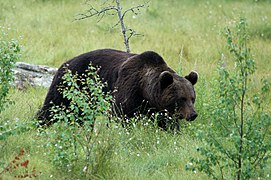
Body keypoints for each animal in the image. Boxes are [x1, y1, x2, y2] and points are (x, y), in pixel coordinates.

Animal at [36, 48, 198, 129]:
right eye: (181, 98)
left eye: (192, 98)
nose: (193, 114)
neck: (145, 90)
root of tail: (64, 63)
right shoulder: (128, 89)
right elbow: (120, 115)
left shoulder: (158, 108)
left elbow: (167, 122)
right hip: (71, 85)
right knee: (52, 107)